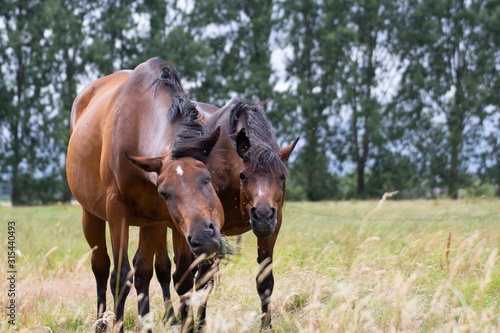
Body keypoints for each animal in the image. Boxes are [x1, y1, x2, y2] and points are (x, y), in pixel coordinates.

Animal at [66, 58, 225, 330]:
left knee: (147, 270)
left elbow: (162, 274)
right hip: (92, 215)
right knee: (101, 267)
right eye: (166, 192)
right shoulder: (116, 210)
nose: (204, 237)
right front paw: (117, 326)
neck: (139, 122)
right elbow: (120, 276)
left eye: (207, 178)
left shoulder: (160, 219)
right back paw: (101, 322)